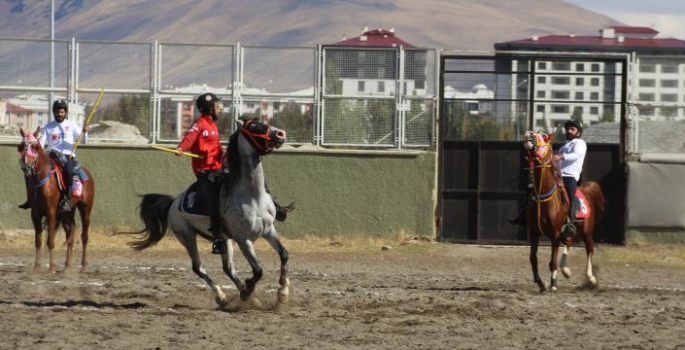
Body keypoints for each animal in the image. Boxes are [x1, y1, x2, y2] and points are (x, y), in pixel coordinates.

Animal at [17, 127, 95, 272]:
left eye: (35, 146)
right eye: (21, 145)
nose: (27, 166)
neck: (42, 182)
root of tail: (86, 173)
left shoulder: (51, 212)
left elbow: (50, 240)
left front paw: (52, 266)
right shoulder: (35, 214)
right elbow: (38, 240)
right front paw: (37, 266)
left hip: (85, 209)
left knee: (84, 236)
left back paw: (84, 265)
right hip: (66, 212)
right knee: (71, 233)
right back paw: (67, 265)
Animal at [120, 119, 288, 306]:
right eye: (253, 126)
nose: (280, 134)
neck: (252, 196)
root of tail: (173, 202)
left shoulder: (268, 230)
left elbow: (284, 255)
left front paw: (282, 291)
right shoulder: (243, 240)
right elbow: (258, 271)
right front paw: (251, 288)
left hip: (224, 239)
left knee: (228, 269)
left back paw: (246, 296)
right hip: (186, 236)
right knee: (198, 267)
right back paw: (223, 296)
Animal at [524, 131, 604, 292]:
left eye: (543, 136)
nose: (529, 134)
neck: (544, 196)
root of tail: (585, 189)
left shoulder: (554, 234)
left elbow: (552, 262)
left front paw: (553, 284)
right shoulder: (533, 233)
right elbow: (533, 259)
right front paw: (541, 283)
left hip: (586, 230)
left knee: (589, 248)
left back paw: (591, 278)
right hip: (569, 229)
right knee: (568, 241)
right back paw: (566, 270)